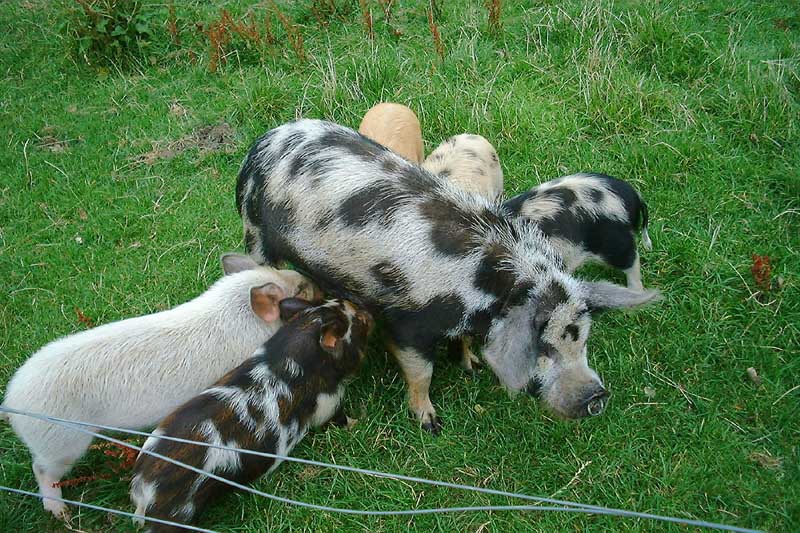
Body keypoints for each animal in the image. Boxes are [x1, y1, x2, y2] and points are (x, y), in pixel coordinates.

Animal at [131, 298, 372, 528]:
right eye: (358, 320)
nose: (368, 312)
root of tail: (144, 488)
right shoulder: (327, 403)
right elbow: (338, 418)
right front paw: (359, 420)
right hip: (178, 514)